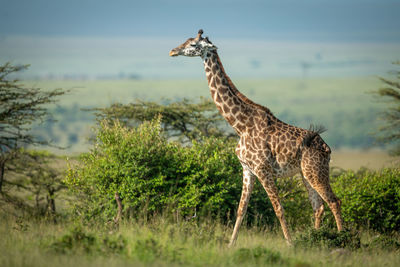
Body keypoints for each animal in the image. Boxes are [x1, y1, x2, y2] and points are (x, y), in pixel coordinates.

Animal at [170, 29, 344, 247]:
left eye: (193, 44)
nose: (173, 51)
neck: (240, 125)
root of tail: (327, 148)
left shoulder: (263, 169)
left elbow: (278, 208)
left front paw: (290, 244)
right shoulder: (247, 169)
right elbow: (241, 209)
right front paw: (230, 244)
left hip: (316, 170)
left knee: (333, 201)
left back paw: (344, 237)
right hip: (305, 173)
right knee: (318, 206)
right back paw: (315, 238)